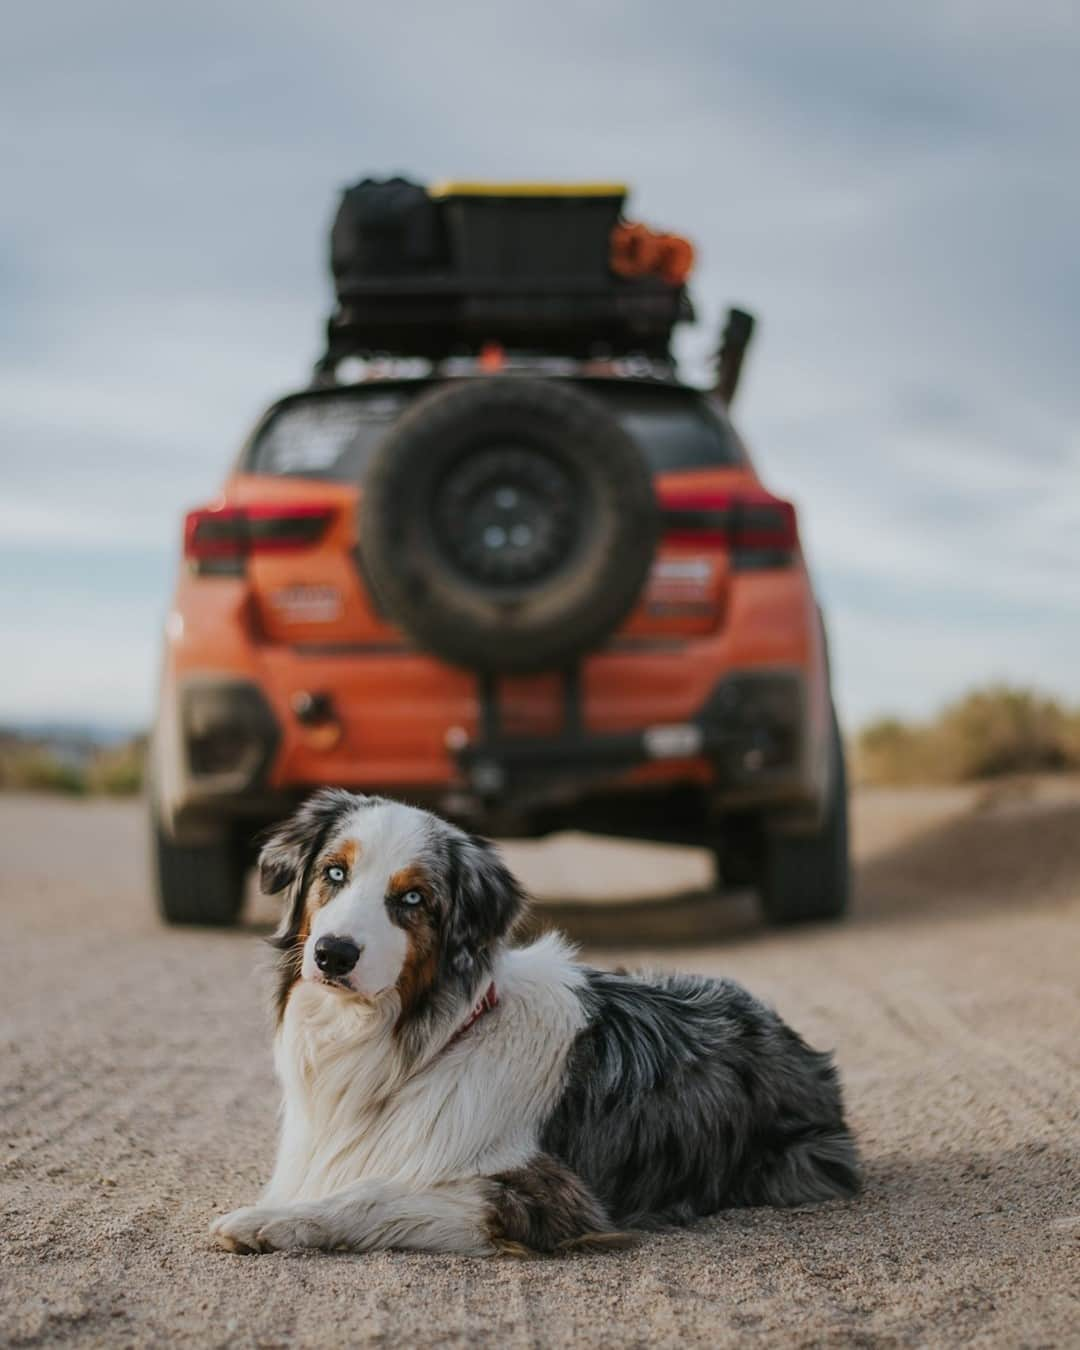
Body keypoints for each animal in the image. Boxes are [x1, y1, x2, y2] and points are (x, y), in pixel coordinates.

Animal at [210, 788, 858, 1252]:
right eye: (334, 873)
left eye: (414, 899)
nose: (333, 954)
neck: (417, 1043)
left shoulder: (552, 1199)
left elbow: (370, 1193)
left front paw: (271, 1220)